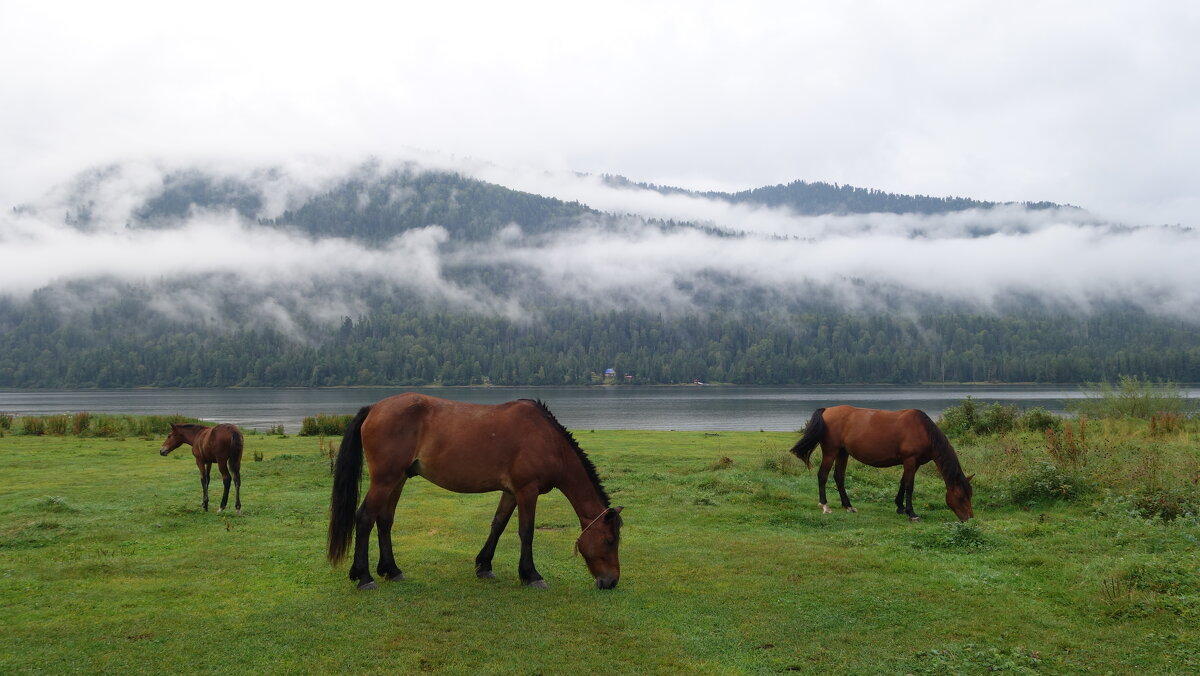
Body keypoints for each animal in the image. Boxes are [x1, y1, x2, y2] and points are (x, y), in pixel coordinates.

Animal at [331, 393, 628, 590]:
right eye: (608, 541)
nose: (611, 581)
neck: (547, 440)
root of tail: (374, 408)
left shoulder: (511, 492)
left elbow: (497, 525)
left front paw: (484, 566)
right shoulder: (527, 490)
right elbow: (526, 532)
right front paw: (531, 575)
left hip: (398, 479)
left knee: (384, 521)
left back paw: (391, 570)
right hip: (385, 480)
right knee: (365, 518)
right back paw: (364, 577)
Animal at [787, 408, 974, 523]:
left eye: (970, 495)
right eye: (960, 497)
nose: (969, 518)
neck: (923, 430)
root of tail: (827, 410)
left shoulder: (914, 463)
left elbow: (903, 483)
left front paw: (900, 507)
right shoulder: (910, 460)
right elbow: (909, 485)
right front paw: (911, 513)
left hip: (842, 452)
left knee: (838, 476)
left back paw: (848, 506)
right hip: (831, 451)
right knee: (823, 475)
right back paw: (825, 506)